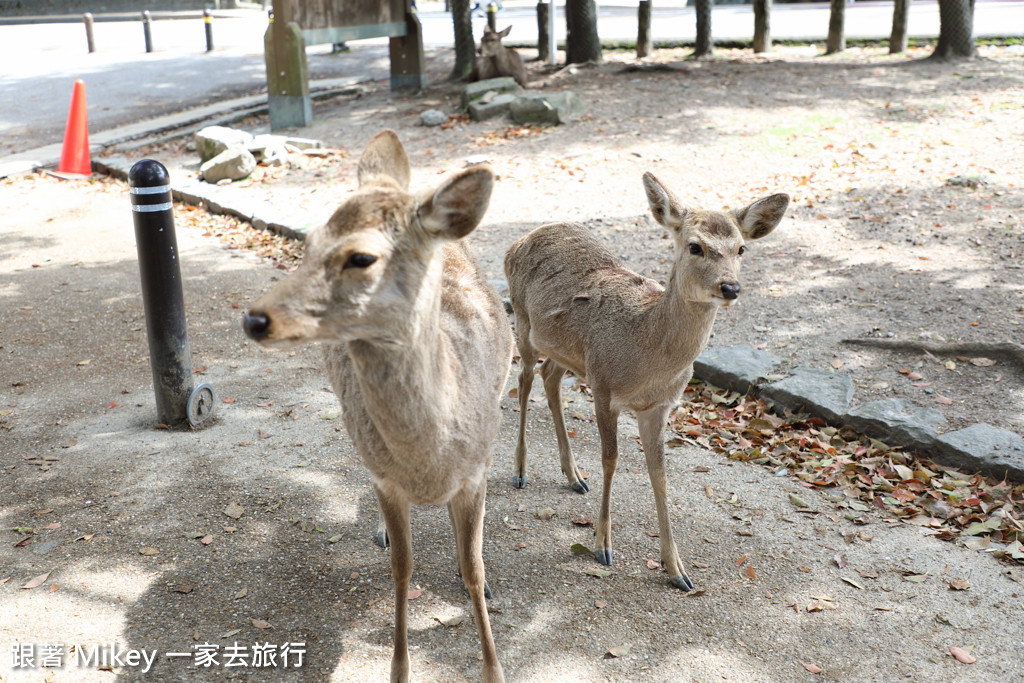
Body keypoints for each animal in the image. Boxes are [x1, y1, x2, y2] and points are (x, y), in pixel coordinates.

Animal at [240, 129, 512, 683]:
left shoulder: (476, 470)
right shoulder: (386, 479)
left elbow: (473, 568)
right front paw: (398, 669)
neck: (428, 465)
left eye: (361, 257)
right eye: (307, 244)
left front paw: (494, 668)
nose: (256, 319)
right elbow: (402, 569)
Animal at [507, 174, 786, 589]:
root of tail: (522, 239)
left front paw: (677, 569)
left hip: (567, 351)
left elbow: (660, 474)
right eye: (695, 246)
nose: (730, 288)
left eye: (741, 248)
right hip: (523, 319)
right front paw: (602, 546)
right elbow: (611, 459)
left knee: (548, 376)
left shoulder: (659, 406)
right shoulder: (604, 387)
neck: (646, 354)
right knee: (524, 379)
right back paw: (521, 471)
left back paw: (574, 475)